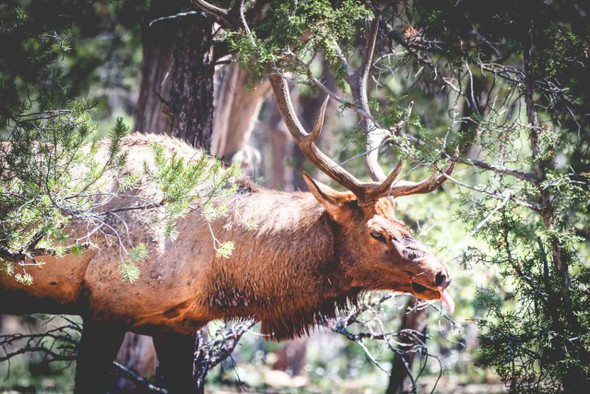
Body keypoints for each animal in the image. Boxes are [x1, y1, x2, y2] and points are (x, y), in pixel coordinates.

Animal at [0, 73, 458, 390]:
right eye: (377, 233)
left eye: (405, 224)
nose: (441, 274)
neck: (218, 273)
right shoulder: (102, 305)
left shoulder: (176, 325)